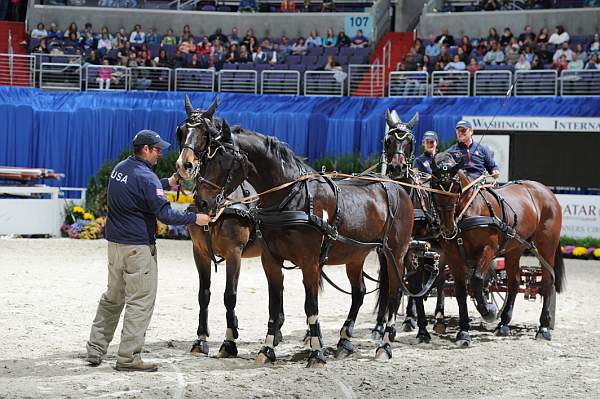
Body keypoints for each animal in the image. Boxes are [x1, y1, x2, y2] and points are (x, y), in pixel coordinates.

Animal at [175, 97, 288, 360]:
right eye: (181, 131)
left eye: (205, 134)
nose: (184, 165)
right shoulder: (199, 252)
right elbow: (204, 294)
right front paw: (201, 339)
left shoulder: (234, 253)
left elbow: (230, 296)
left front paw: (229, 341)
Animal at [179, 118, 418, 366]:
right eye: (205, 158)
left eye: (223, 160)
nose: (202, 202)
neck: (292, 197)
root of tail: (397, 187)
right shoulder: (269, 261)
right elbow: (273, 305)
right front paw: (267, 348)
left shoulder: (308, 262)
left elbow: (310, 306)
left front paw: (317, 352)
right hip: (355, 255)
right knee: (359, 292)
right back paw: (344, 340)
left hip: (395, 254)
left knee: (394, 294)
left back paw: (385, 344)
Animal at [382, 111, 448, 338]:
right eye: (388, 140)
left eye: (409, 142)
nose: (397, 167)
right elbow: (393, 281)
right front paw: (380, 327)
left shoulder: (417, 248)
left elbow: (415, 283)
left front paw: (423, 330)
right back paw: (409, 318)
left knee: (440, 278)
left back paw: (438, 319)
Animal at [428, 152, 564, 346]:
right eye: (433, 184)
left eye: (454, 185)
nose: (448, 227)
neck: (470, 209)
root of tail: (546, 191)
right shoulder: (453, 256)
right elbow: (460, 290)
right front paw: (464, 331)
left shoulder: (488, 249)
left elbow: (477, 280)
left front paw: (488, 311)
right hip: (515, 249)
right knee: (514, 283)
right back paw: (504, 324)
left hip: (547, 246)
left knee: (547, 283)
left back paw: (543, 328)